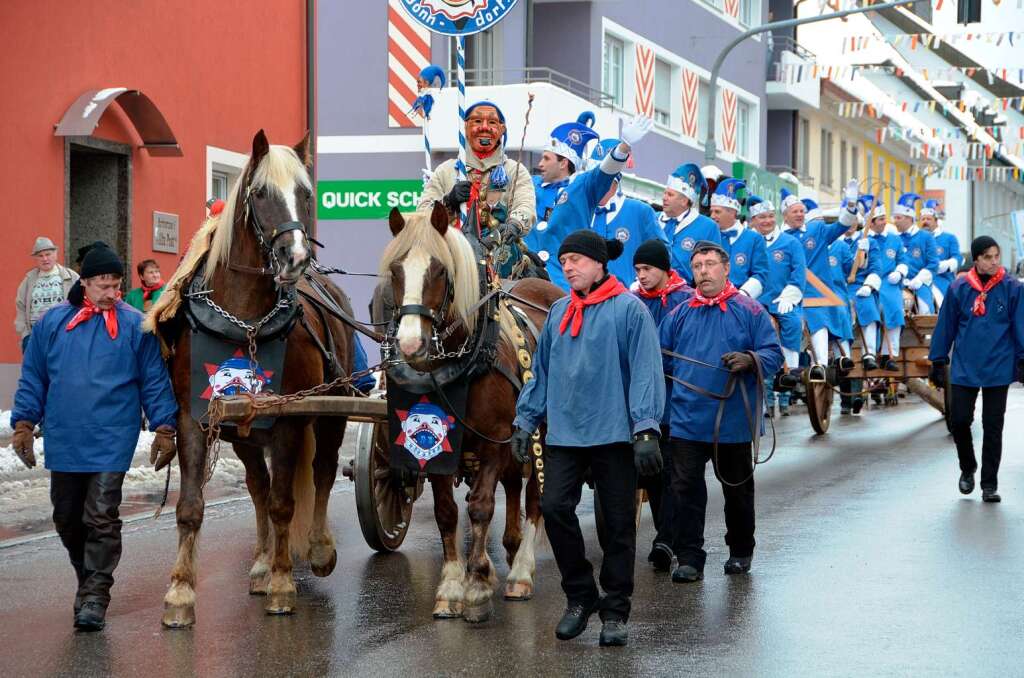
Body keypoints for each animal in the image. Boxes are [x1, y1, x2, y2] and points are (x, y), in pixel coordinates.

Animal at [146, 129, 358, 626]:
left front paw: (283, 583)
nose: (296, 256)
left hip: (332, 412)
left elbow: (285, 503)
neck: (243, 321)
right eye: (260, 193)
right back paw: (261, 562)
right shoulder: (194, 416)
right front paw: (180, 592)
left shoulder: (288, 421)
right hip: (243, 430)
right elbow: (192, 506)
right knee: (257, 485)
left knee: (322, 472)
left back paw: (316, 550)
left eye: (306, 193)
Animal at [380, 204, 565, 622]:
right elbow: (447, 512)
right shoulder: (435, 446)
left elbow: (480, 508)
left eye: (439, 270)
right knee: (514, 485)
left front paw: (478, 582)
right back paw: (511, 548)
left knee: (534, 497)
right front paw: (450, 587)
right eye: (396, 270)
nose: (410, 343)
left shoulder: (494, 439)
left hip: (540, 432)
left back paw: (521, 571)